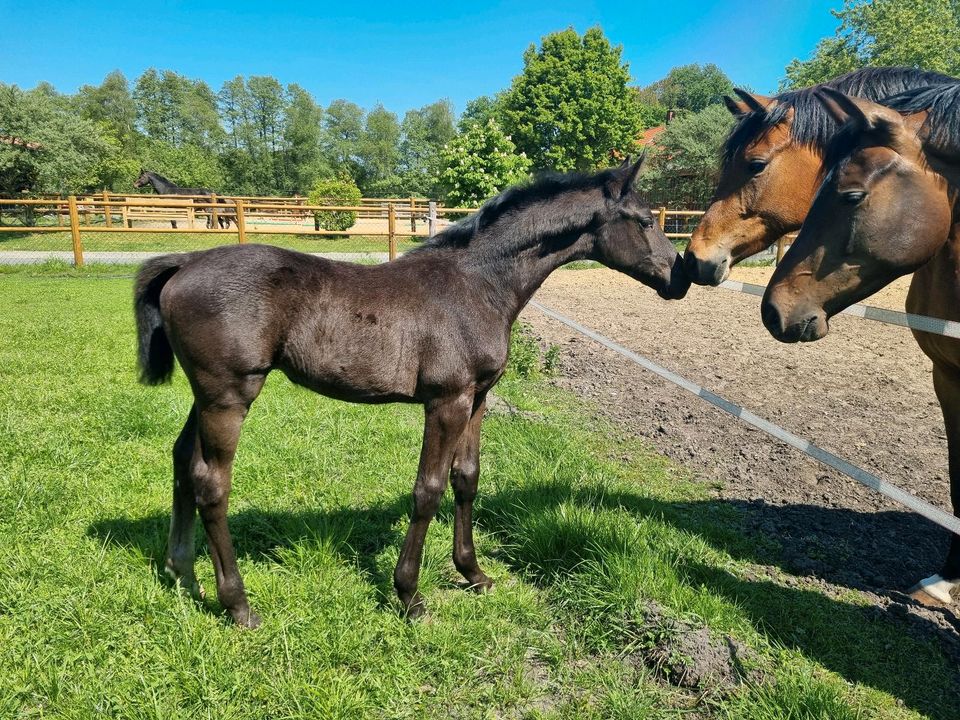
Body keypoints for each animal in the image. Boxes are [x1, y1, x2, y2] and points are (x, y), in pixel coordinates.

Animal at [133, 156, 688, 624]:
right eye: (644, 220)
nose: (681, 277)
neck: (478, 285)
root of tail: (183, 263)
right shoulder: (447, 401)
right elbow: (429, 489)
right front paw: (409, 595)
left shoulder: (478, 399)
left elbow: (467, 478)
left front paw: (474, 573)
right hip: (229, 396)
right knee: (211, 483)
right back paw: (238, 604)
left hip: (205, 396)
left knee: (182, 460)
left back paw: (182, 571)